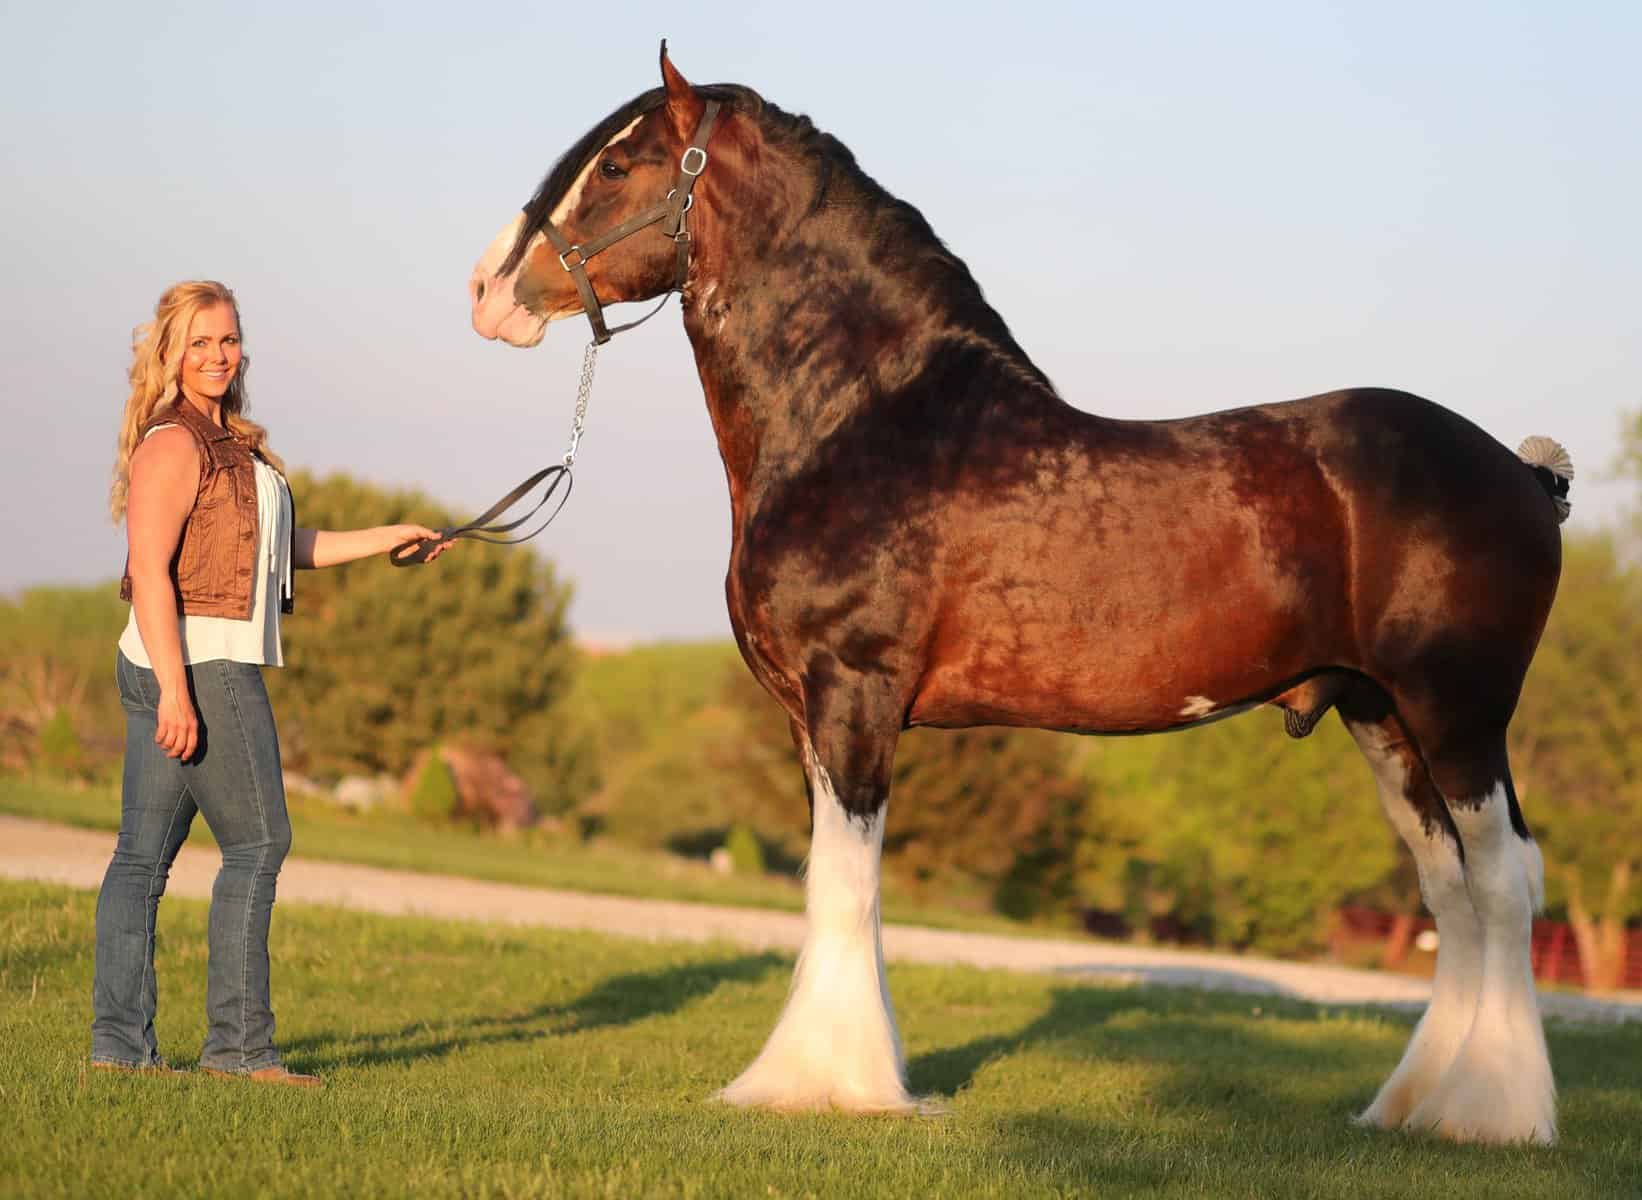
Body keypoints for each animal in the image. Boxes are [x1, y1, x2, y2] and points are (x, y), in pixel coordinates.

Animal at [468, 47, 1573, 1144]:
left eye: (618, 165)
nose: (486, 292)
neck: (865, 420)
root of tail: (1525, 476)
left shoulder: (854, 696)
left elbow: (844, 888)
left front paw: (823, 1084)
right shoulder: (808, 719)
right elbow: (841, 887)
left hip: (1458, 715)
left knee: (1502, 884)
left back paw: (1494, 1113)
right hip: (1379, 716)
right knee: (1450, 890)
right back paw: (1415, 1109)